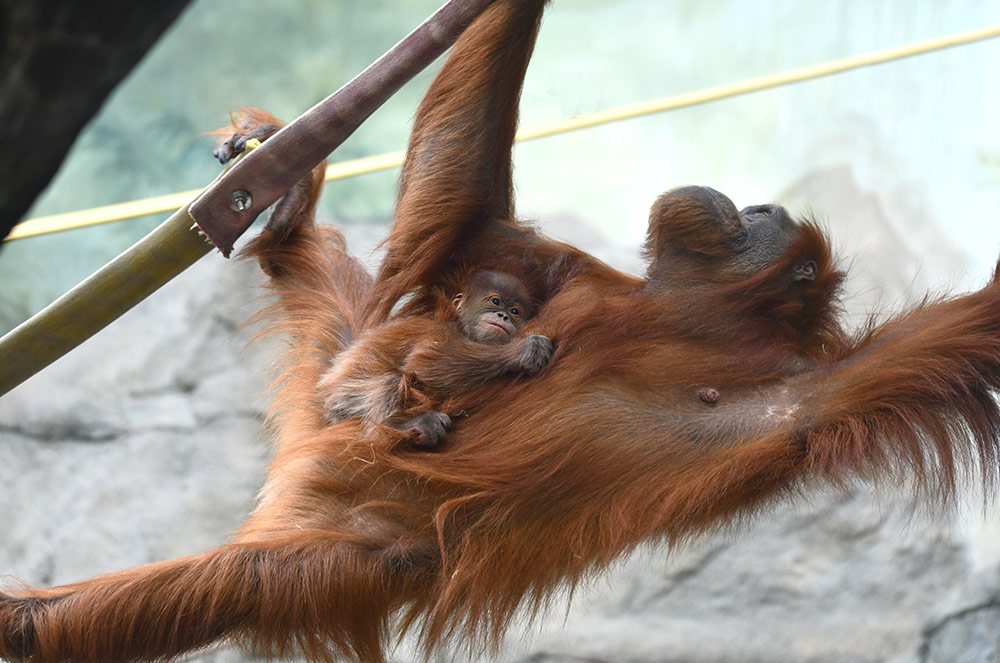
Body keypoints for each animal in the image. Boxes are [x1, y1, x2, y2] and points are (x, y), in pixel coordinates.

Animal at [318, 269, 553, 447]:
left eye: (515, 311)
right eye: (495, 301)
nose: (503, 316)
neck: (462, 326)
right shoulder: (440, 331)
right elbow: (426, 362)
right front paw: (523, 350)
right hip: (341, 398)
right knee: (390, 380)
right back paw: (396, 424)